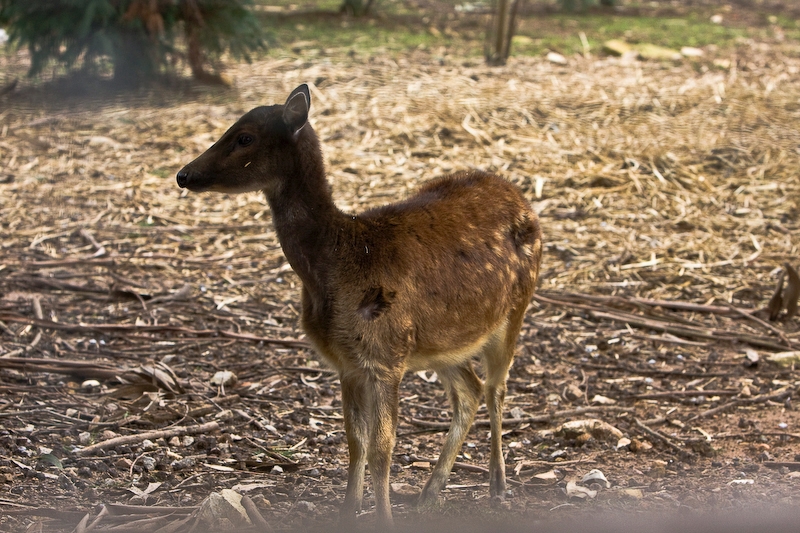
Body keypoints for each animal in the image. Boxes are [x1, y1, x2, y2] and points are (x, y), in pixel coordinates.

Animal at [176, 84, 542, 527]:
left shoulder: (385, 355)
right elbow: (355, 440)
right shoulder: (347, 362)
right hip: (441, 340)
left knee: (496, 387)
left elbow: (383, 446)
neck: (338, 261)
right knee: (469, 391)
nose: (183, 174)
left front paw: (383, 518)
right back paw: (429, 492)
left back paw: (498, 486)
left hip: (515, 308)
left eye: (244, 136)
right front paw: (347, 510)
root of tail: (520, 195)